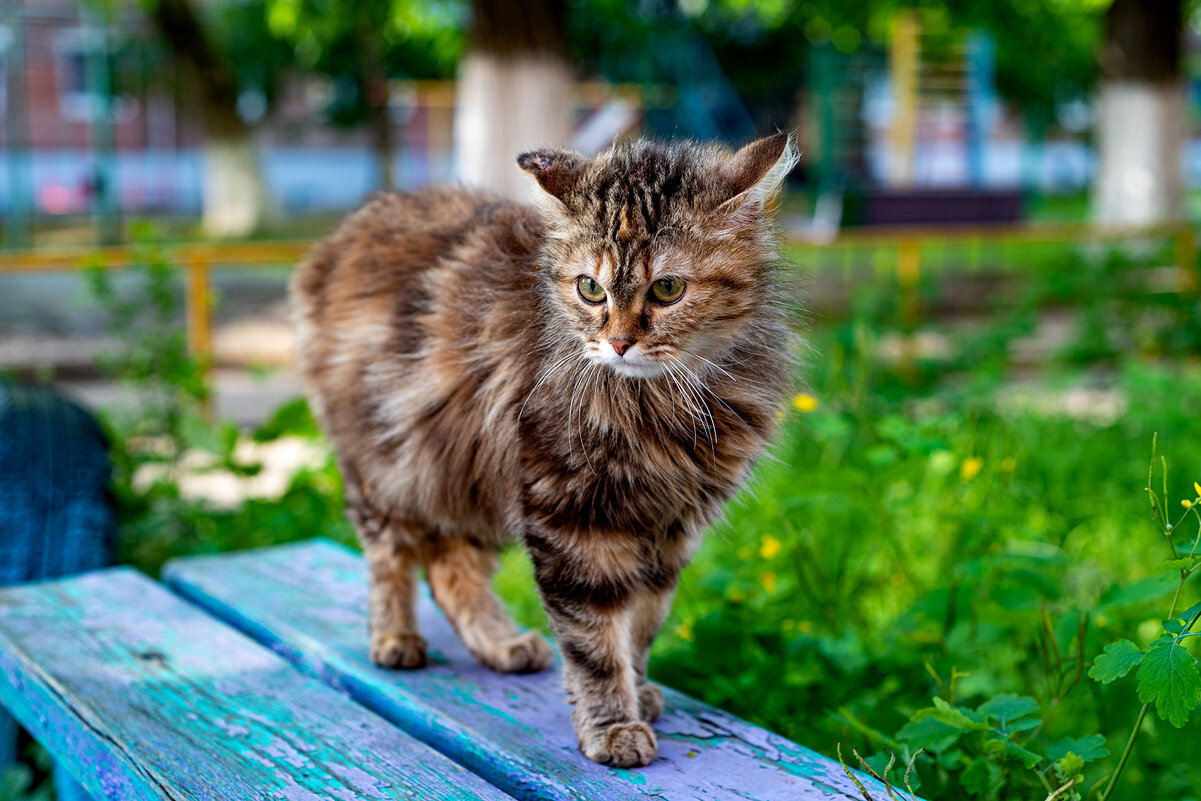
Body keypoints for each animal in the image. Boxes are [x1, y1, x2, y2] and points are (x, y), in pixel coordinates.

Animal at [288, 133, 797, 768]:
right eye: (590, 289)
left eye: (668, 289)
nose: (619, 342)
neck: (658, 406)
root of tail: (351, 226)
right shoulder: (573, 518)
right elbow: (595, 642)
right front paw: (613, 725)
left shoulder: (670, 527)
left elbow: (641, 627)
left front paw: (639, 692)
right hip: (391, 470)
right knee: (394, 562)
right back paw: (396, 639)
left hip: (465, 481)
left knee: (449, 568)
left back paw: (503, 645)